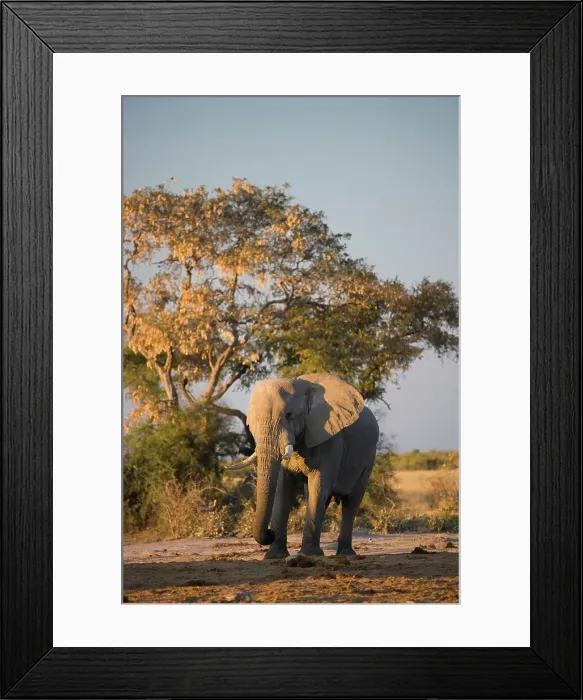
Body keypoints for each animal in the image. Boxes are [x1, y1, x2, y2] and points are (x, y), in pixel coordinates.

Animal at [227, 373, 379, 559]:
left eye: (289, 415)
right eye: (253, 420)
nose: (270, 533)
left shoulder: (330, 438)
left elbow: (319, 485)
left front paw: (309, 555)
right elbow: (283, 490)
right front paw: (274, 556)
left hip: (368, 458)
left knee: (351, 501)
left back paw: (345, 554)